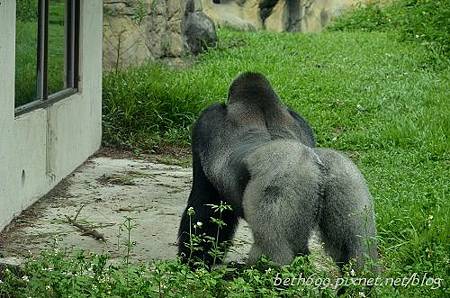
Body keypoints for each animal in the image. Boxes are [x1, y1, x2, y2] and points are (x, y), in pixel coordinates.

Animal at [178, 73, 378, 272]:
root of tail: (318, 166)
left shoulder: (206, 122)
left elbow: (204, 206)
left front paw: (194, 261)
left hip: (286, 181)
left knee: (274, 252)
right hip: (346, 176)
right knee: (356, 250)